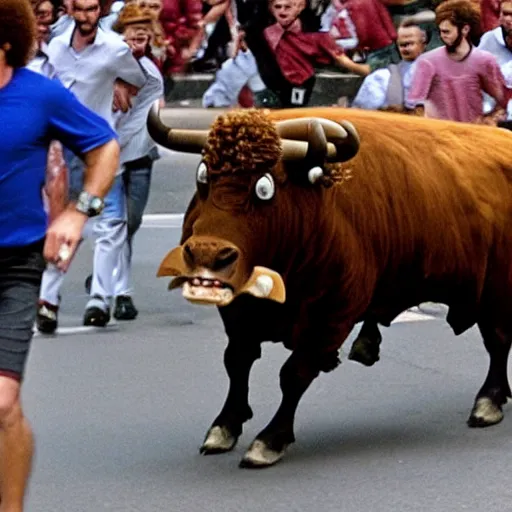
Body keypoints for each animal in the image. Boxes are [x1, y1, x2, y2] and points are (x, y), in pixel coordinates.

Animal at [148, 105, 512, 468]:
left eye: (265, 187)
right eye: (203, 176)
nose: (208, 253)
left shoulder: (329, 317)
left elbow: (293, 374)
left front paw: (268, 442)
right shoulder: (240, 315)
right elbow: (237, 362)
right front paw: (223, 429)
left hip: (495, 295)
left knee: (497, 342)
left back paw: (488, 404)